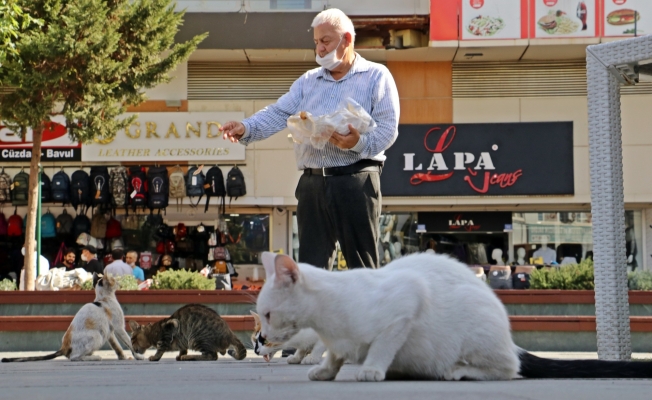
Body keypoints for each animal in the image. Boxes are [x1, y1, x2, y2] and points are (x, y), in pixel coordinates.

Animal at [1, 276, 144, 362]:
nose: (119, 282)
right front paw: (138, 356)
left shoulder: (110, 332)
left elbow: (117, 347)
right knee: (74, 357)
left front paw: (123, 357)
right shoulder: (119, 327)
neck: (104, 298)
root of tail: (63, 347)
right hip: (97, 336)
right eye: (113, 279)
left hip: (102, 334)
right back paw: (95, 357)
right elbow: (129, 342)